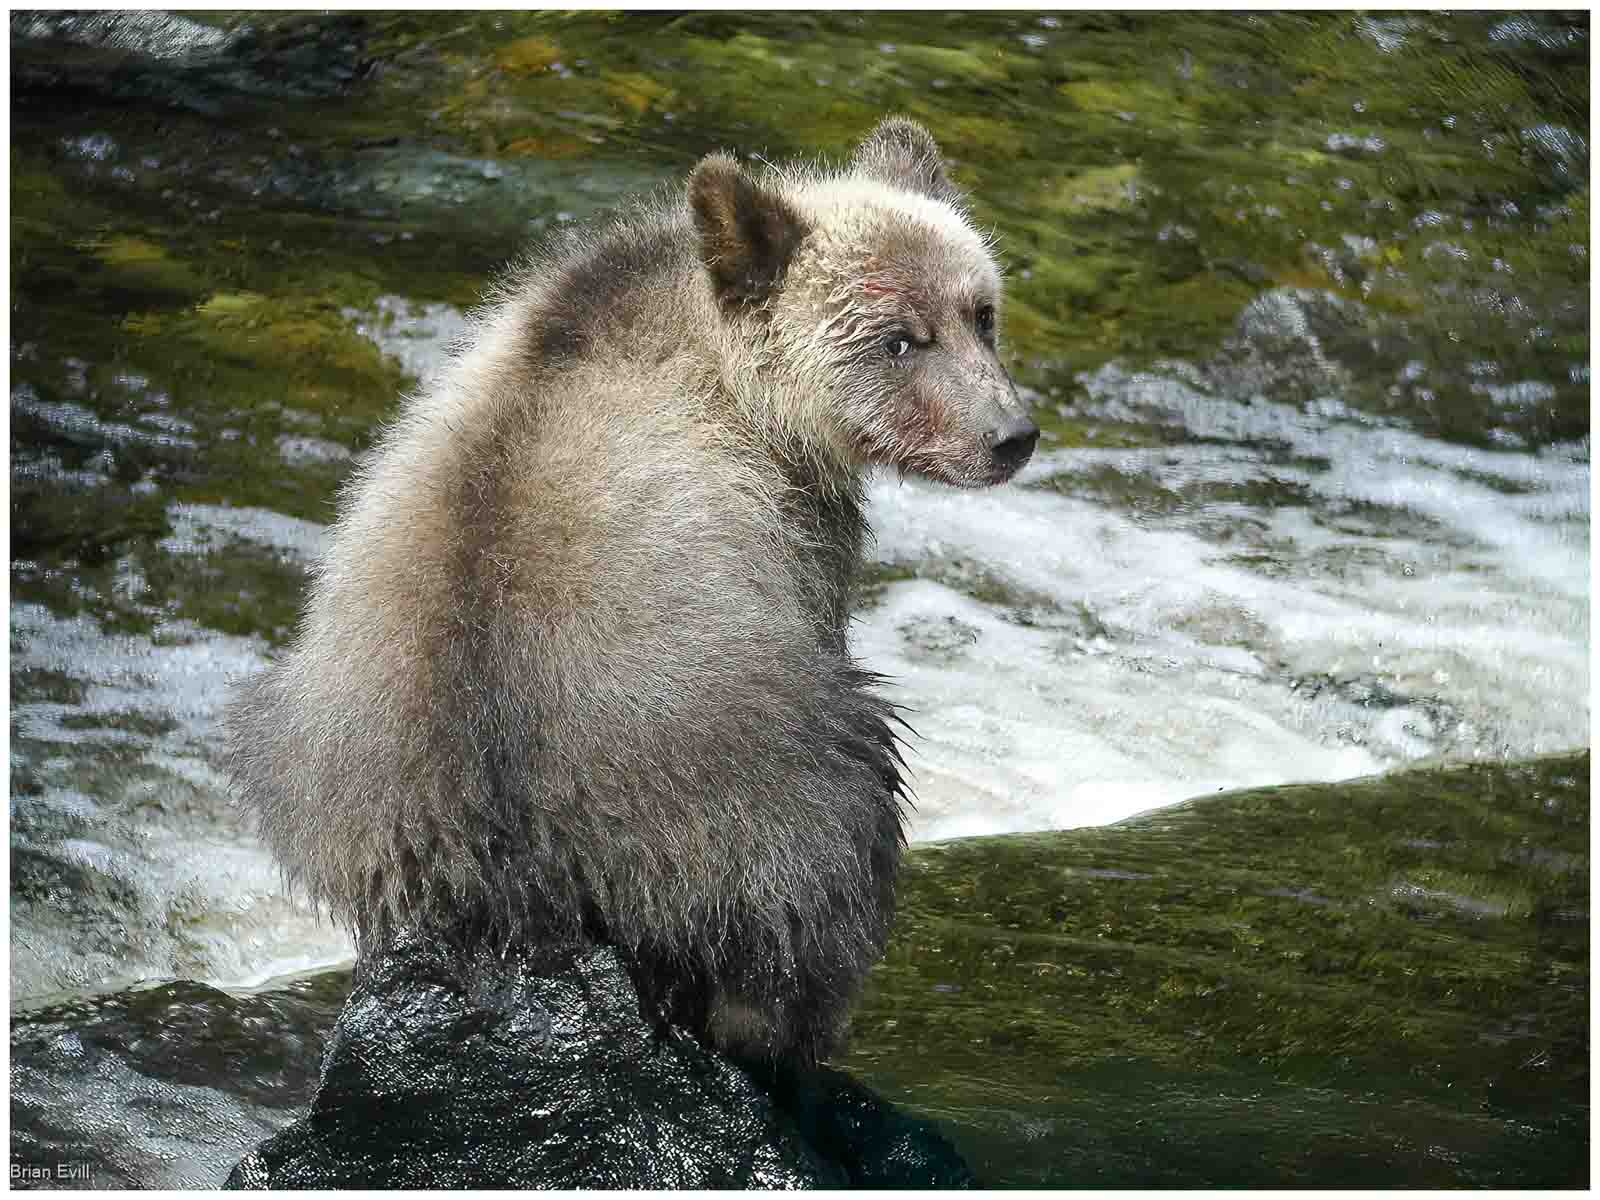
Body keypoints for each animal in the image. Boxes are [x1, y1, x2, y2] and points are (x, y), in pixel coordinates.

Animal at [223, 116, 1037, 1067]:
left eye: (980, 312)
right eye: (898, 339)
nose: (1010, 435)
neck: (742, 382)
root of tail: (519, 859)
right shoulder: (790, 521)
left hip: (341, 759)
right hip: (748, 788)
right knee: (830, 859)